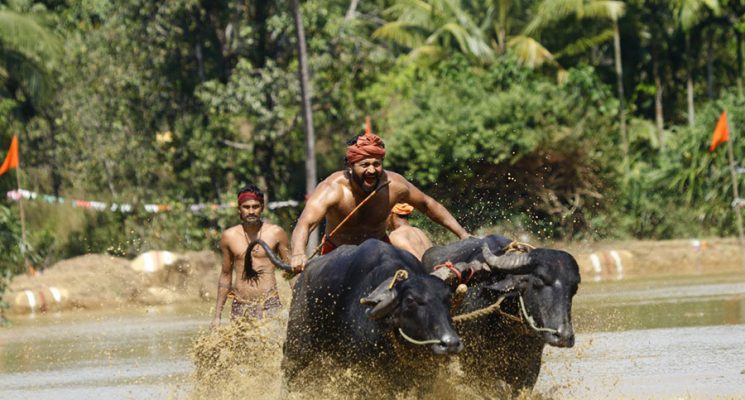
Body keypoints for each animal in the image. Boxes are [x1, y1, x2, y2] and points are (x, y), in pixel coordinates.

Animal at [260, 239, 470, 396]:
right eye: (410, 300)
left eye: (448, 298)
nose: (450, 343)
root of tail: (306, 270)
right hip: (299, 344)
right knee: (288, 371)